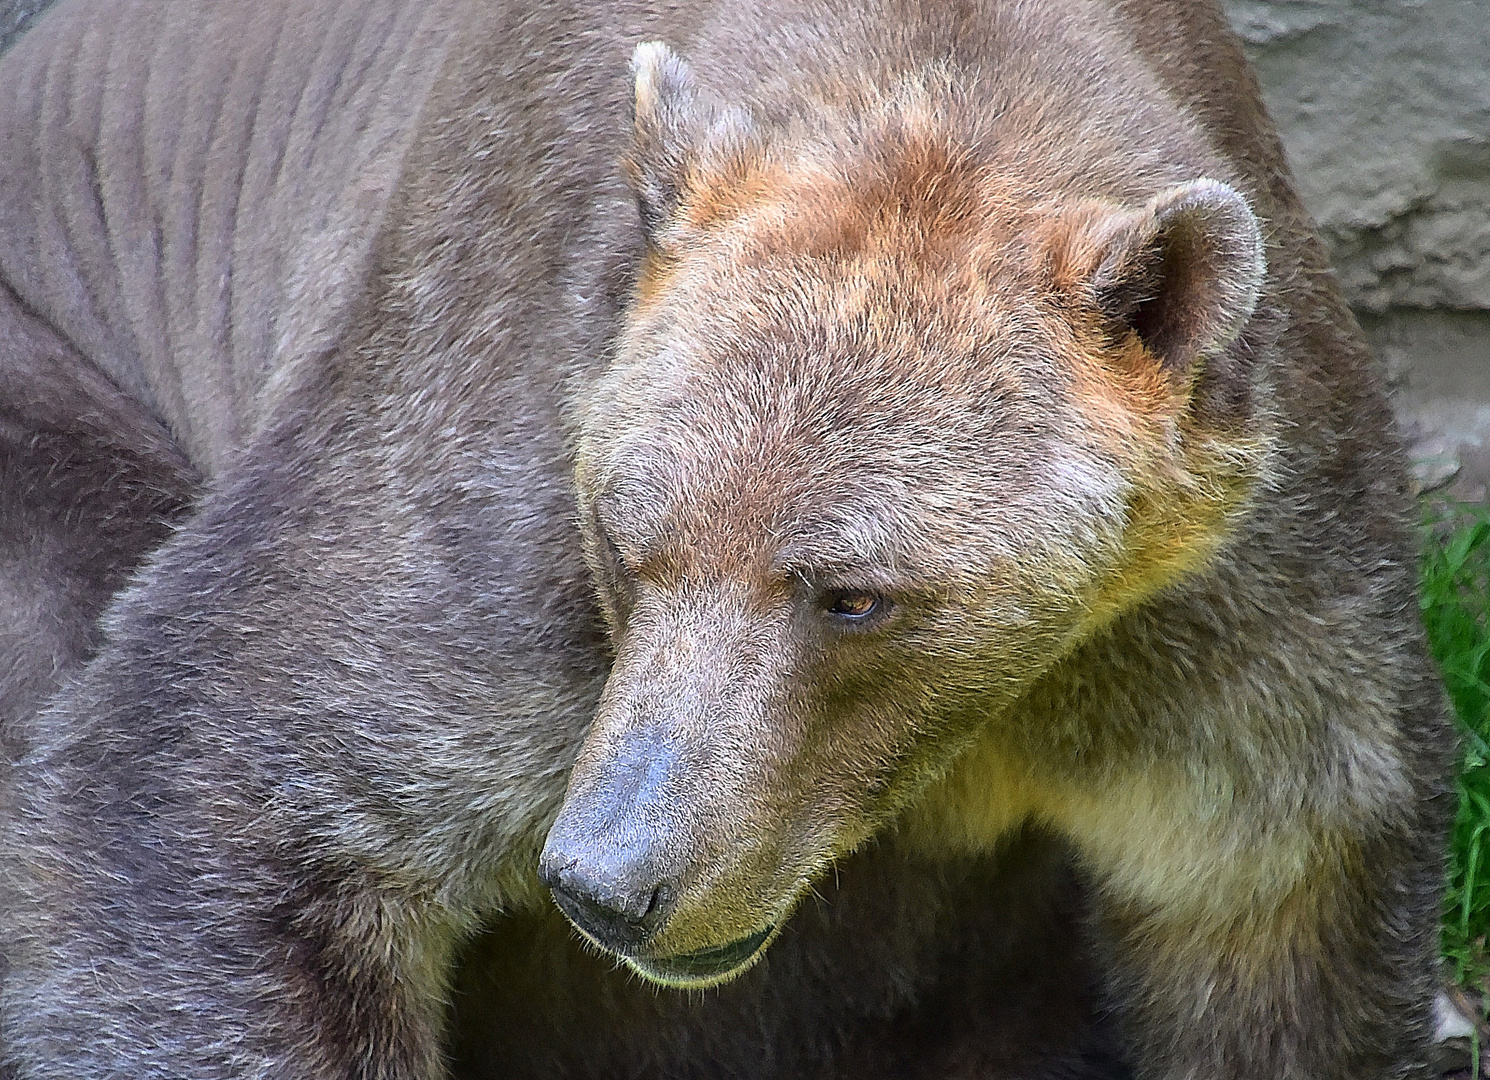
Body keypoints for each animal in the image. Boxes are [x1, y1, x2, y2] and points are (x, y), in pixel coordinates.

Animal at [0, 0, 1448, 1072]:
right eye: (622, 541)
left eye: (850, 593)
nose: (610, 880)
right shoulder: (507, 442)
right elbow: (238, 781)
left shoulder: (1233, 615)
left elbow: (1288, 904)